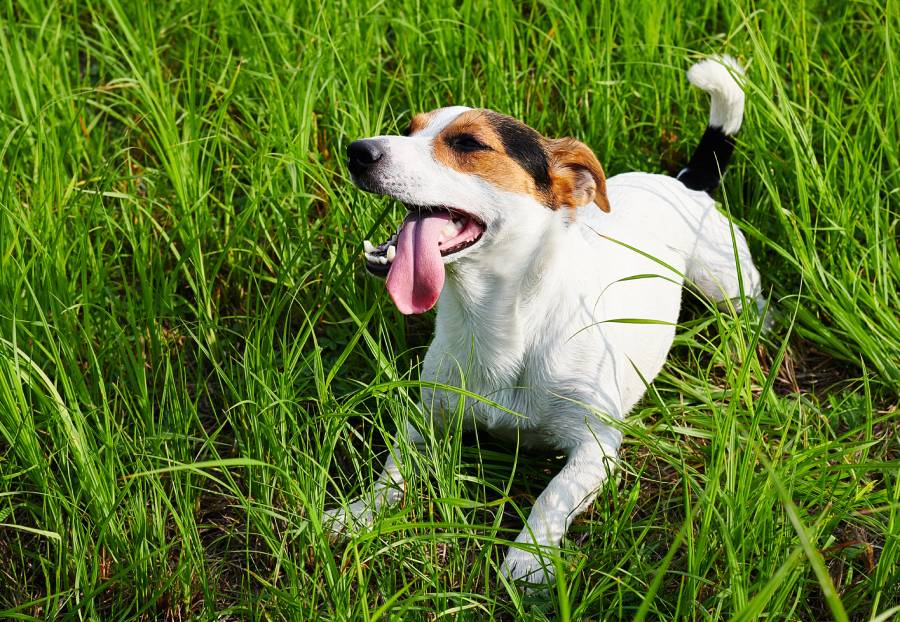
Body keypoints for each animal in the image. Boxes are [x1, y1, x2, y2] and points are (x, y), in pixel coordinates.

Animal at [324, 56, 760, 588]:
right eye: (409, 128)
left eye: (468, 143)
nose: (357, 151)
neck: (504, 323)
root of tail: (685, 181)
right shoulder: (430, 418)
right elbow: (392, 470)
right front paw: (356, 513)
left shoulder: (596, 446)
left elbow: (552, 496)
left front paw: (528, 557)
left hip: (727, 283)